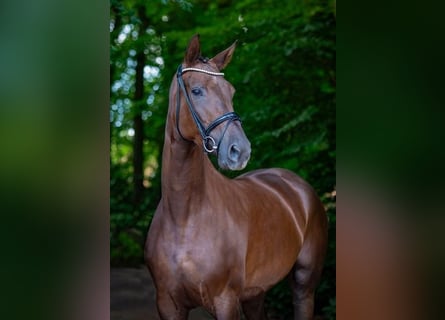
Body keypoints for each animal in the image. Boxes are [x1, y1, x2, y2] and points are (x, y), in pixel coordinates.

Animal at [145, 33, 326, 318]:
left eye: (231, 91)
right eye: (197, 90)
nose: (239, 150)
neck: (184, 217)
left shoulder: (225, 300)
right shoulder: (167, 304)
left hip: (304, 285)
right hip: (256, 293)